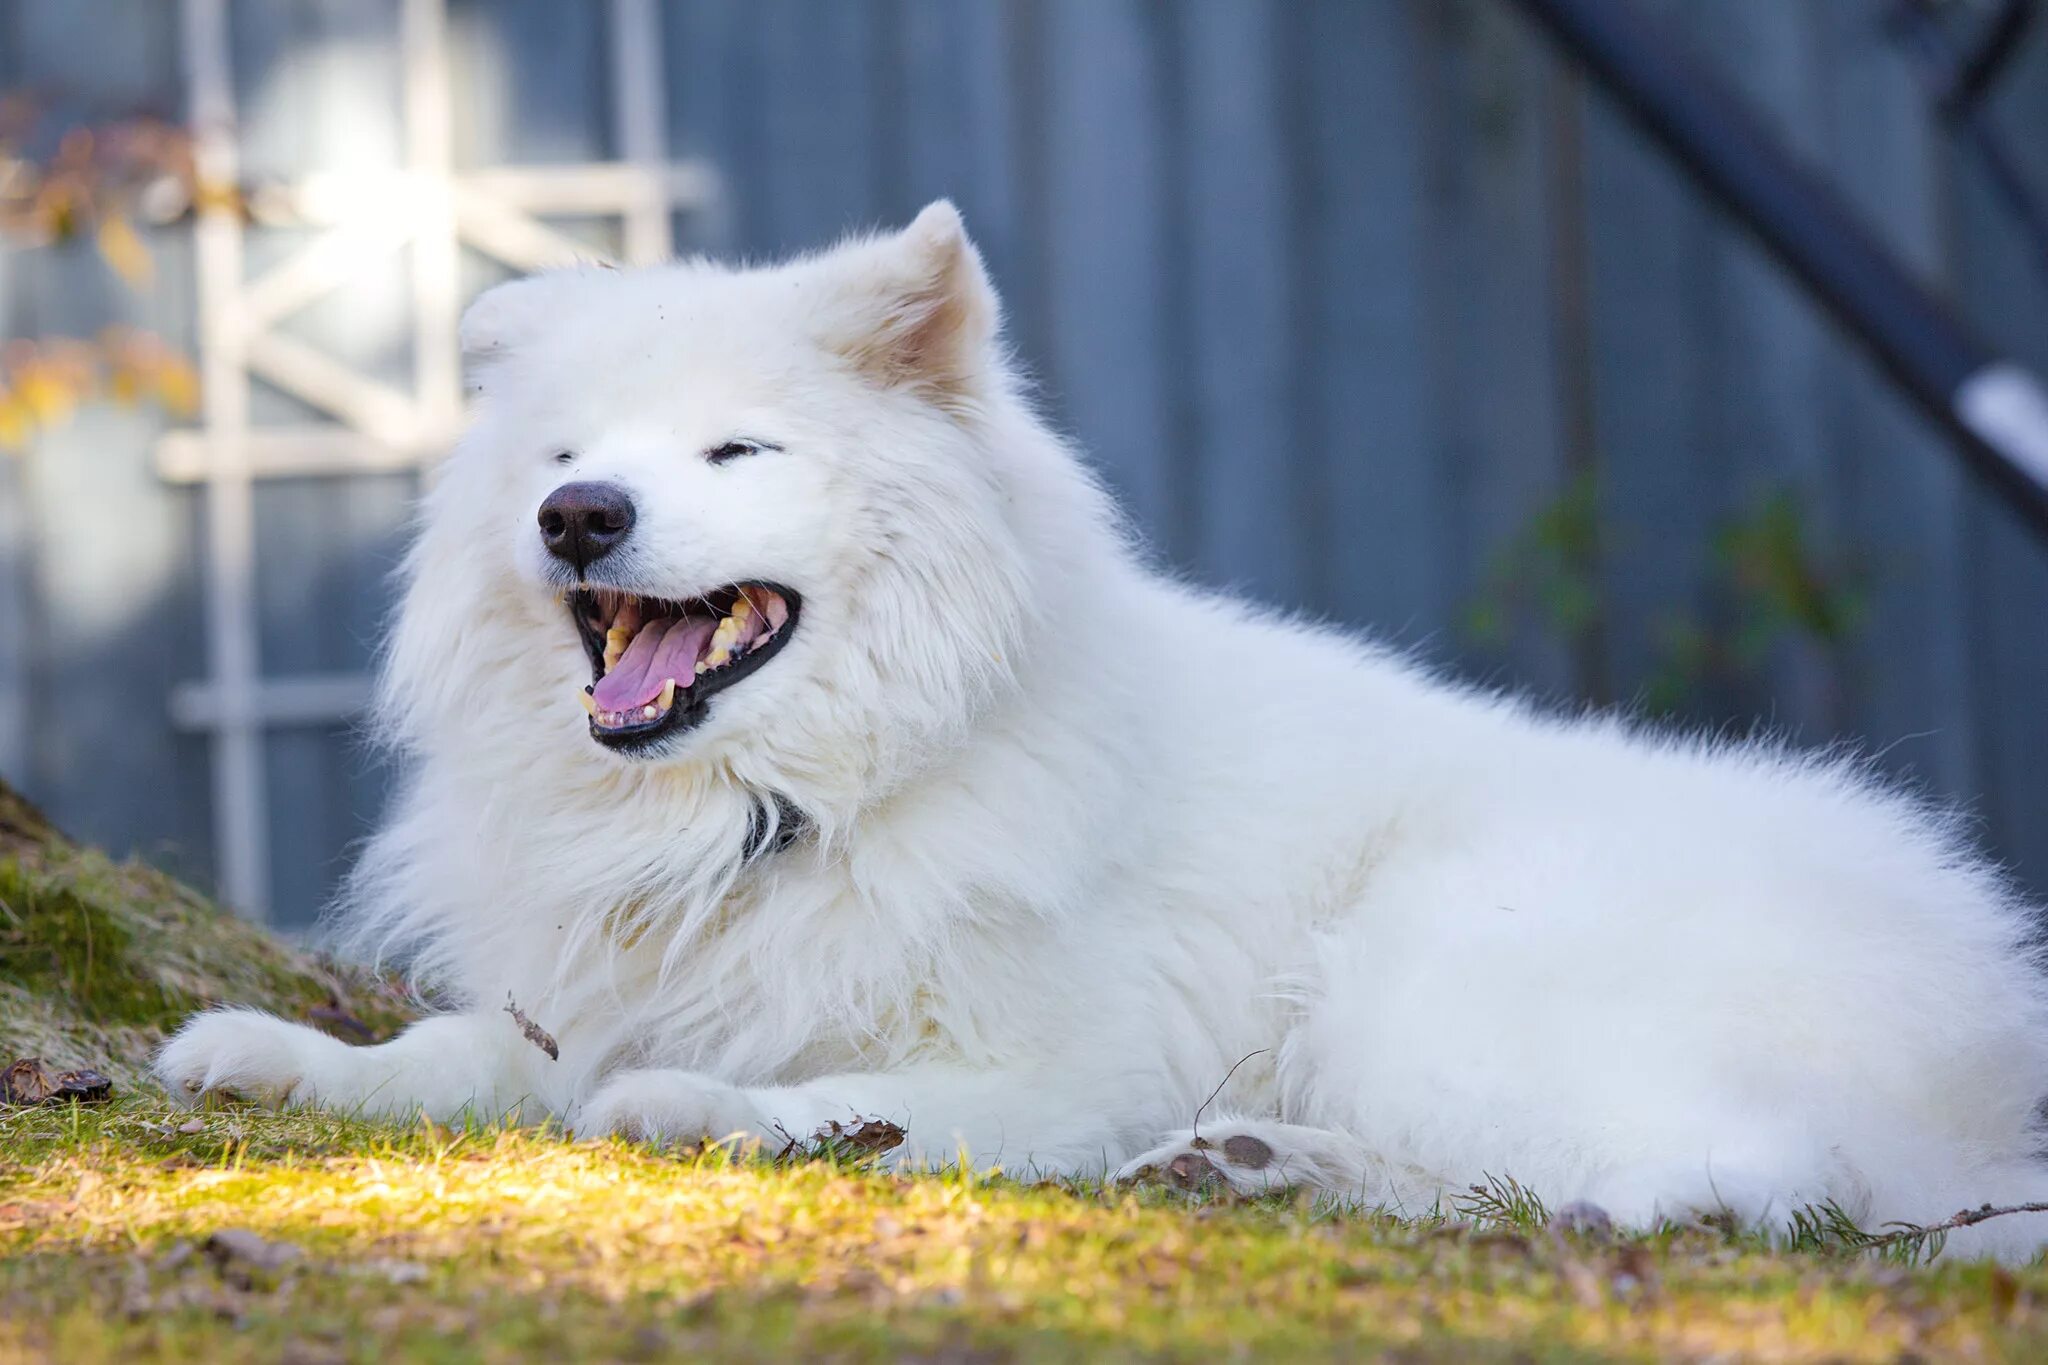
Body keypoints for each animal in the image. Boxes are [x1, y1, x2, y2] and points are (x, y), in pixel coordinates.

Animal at [155, 202, 2048, 1260]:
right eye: (560, 456)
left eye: (736, 452)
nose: (580, 519)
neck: (777, 804)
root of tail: (1991, 984)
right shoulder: (593, 986)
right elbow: (461, 1054)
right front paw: (278, 1058)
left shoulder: (1057, 1063)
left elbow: (834, 1096)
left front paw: (701, 1108)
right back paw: (1258, 1168)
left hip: (1436, 968)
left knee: (1785, 1175)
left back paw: (1629, 1218)